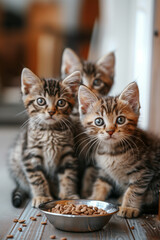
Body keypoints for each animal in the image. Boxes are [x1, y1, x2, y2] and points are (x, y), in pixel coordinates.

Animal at [8, 68, 81, 207]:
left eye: (61, 102)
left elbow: (68, 175)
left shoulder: (68, 153)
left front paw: (68, 195)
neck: (50, 131)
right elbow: (37, 178)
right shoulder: (29, 154)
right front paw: (42, 196)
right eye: (41, 101)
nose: (51, 112)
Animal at [78, 82, 160, 218]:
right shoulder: (105, 171)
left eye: (120, 120)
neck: (112, 152)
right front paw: (94, 198)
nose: (110, 131)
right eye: (98, 121)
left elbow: (134, 190)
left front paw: (129, 207)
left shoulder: (144, 170)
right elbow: (101, 183)